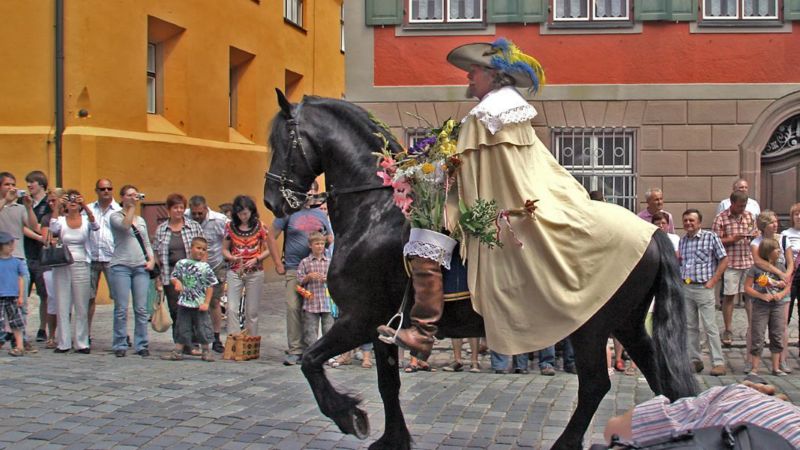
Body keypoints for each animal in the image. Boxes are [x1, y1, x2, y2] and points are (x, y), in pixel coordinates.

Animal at [263, 89, 699, 450]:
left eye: (283, 141)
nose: (271, 201)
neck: (374, 212)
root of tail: (651, 233)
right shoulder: (381, 326)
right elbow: (388, 384)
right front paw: (391, 439)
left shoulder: (358, 317)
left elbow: (311, 361)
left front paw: (348, 414)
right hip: (626, 323)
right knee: (660, 378)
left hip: (590, 327)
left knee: (595, 384)